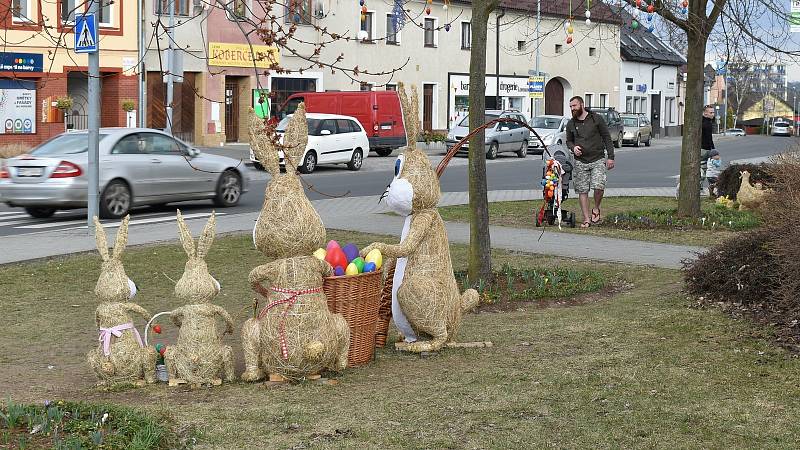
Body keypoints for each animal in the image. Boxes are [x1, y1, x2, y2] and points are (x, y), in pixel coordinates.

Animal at [87, 216, 158, 384]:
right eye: (125, 276)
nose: (137, 286)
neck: (110, 301)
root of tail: (121, 379)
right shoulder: (125, 306)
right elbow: (143, 312)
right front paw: (153, 324)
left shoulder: (100, 309)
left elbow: (97, 319)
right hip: (145, 355)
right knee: (149, 357)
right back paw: (149, 380)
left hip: (93, 358)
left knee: (96, 366)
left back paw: (101, 381)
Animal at [164, 210, 234, 384]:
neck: (197, 302)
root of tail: (195, 378)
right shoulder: (208, 308)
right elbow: (227, 318)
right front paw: (229, 330)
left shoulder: (188, 308)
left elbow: (173, 315)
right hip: (223, 353)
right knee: (228, 354)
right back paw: (227, 379)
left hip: (174, 355)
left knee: (170, 358)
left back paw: (175, 381)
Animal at [239, 104, 348, 380]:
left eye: (266, 197)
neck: (293, 256)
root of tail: (311, 349)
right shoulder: (315, 264)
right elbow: (327, 270)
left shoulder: (273, 266)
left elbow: (255, 278)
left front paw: (263, 290)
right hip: (339, 324)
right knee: (342, 342)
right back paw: (338, 366)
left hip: (255, 332)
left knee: (251, 340)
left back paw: (251, 375)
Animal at [362, 82, 482, 354]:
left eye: (397, 167)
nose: (386, 190)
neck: (421, 208)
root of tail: (456, 321)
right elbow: (398, 251)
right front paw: (384, 266)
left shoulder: (422, 220)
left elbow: (404, 247)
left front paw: (371, 249)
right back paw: (405, 340)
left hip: (416, 293)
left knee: (439, 338)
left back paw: (418, 346)